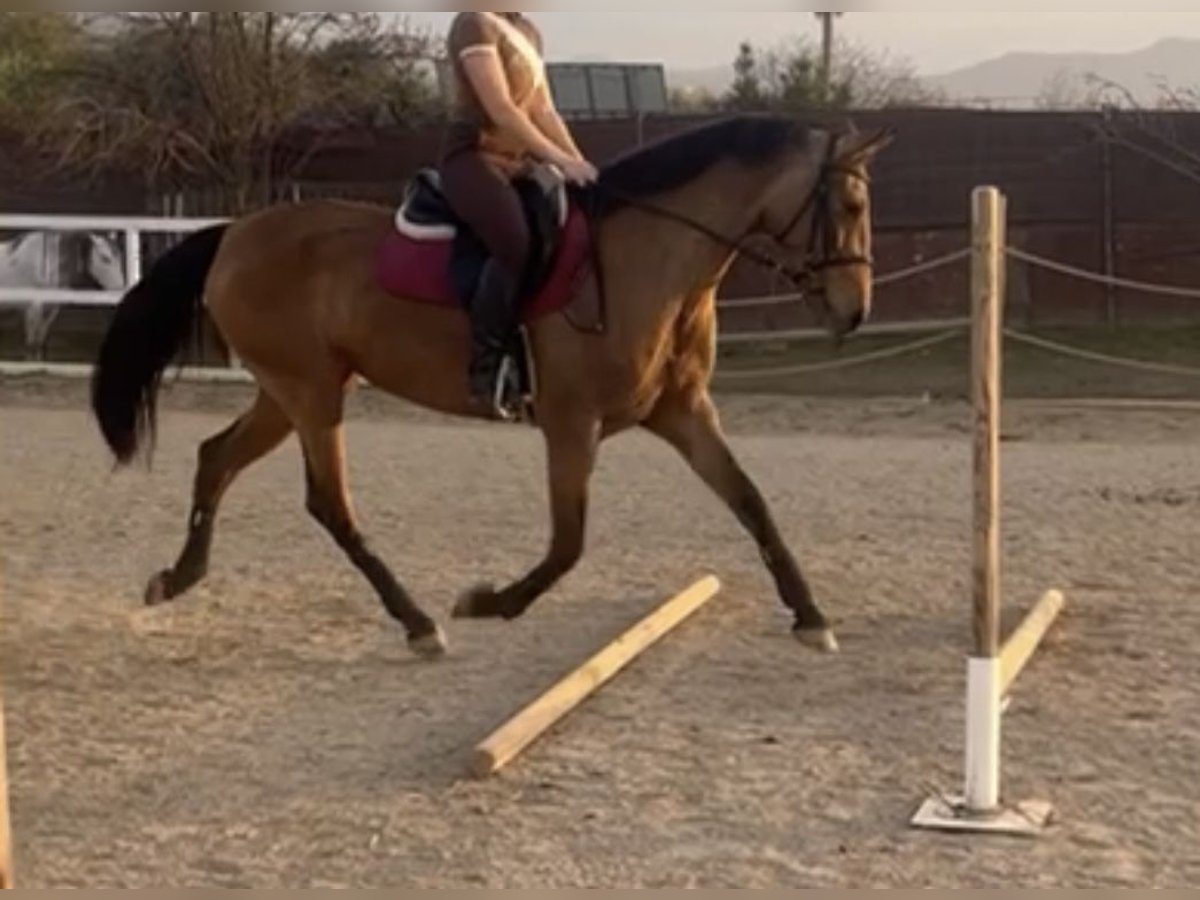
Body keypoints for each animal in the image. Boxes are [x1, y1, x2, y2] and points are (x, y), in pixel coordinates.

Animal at [0, 230, 126, 360]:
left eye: (120, 257)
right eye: (105, 258)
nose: (120, 289)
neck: (46, 265)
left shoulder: (51, 309)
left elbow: (40, 341)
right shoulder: (33, 308)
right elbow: (31, 344)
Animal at [89, 114, 893, 659]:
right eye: (851, 208)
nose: (855, 311)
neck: (649, 263)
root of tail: (235, 232)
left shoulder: (683, 412)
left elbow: (752, 504)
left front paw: (811, 617)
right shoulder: (571, 423)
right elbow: (568, 543)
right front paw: (487, 603)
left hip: (290, 391)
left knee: (216, 458)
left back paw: (176, 578)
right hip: (310, 393)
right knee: (328, 504)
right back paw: (419, 624)